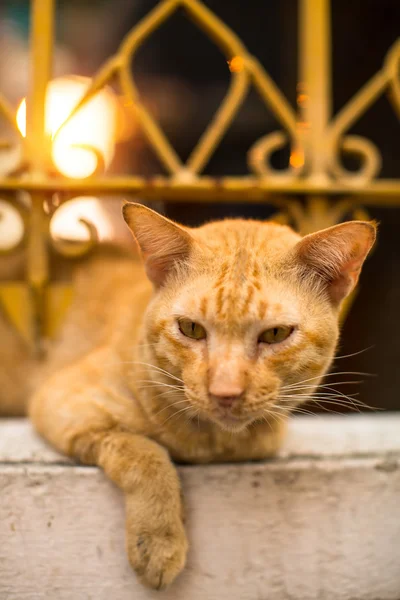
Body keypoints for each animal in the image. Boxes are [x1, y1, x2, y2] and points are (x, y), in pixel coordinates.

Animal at [0, 204, 376, 588]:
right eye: (191, 329)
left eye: (275, 334)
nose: (225, 392)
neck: (209, 444)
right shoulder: (64, 401)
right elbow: (144, 452)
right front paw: (158, 542)